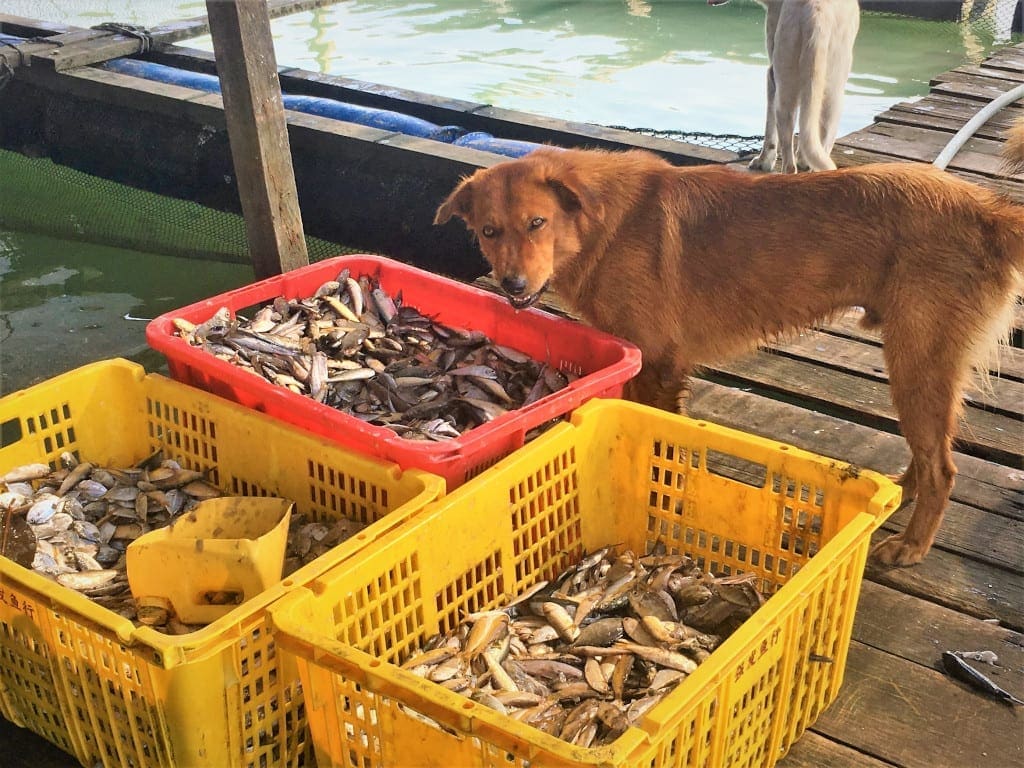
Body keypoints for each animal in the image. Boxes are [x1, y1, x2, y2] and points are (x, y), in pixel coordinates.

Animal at [436, 147, 1024, 565]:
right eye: (488, 231)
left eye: (537, 223)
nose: (512, 286)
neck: (601, 223)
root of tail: (990, 212)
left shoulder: (659, 365)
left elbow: (661, 441)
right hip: (916, 365)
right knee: (927, 454)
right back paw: (897, 495)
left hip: (917, 359)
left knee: (943, 467)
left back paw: (912, 546)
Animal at [712, 0, 864, 174]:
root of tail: (817, 13)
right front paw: (804, 161)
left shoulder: (772, 77)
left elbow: (769, 132)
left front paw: (763, 162)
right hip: (834, 95)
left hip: (785, 92)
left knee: (789, 163)